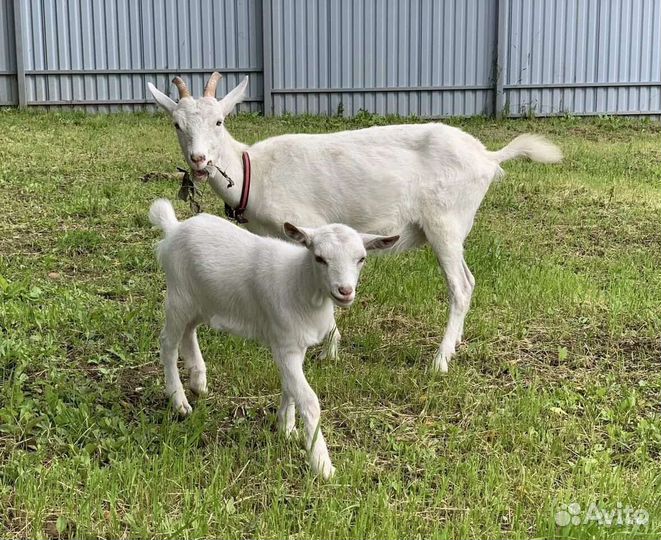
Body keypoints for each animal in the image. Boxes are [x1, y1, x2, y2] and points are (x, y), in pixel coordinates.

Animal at [147, 73, 562, 372]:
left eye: (219, 121)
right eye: (176, 124)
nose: (200, 161)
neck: (255, 171)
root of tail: (488, 157)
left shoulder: (304, 224)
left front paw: (328, 350)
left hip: (444, 221)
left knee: (459, 286)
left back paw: (440, 360)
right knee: (470, 280)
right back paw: (456, 344)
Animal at [149, 198, 398, 478]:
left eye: (361, 258)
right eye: (319, 258)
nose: (345, 291)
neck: (301, 286)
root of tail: (174, 228)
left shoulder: (294, 344)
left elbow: (290, 387)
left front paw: (286, 428)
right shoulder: (285, 344)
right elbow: (309, 400)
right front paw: (322, 465)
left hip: (202, 300)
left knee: (189, 331)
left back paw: (198, 381)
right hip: (178, 294)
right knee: (168, 344)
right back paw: (179, 401)